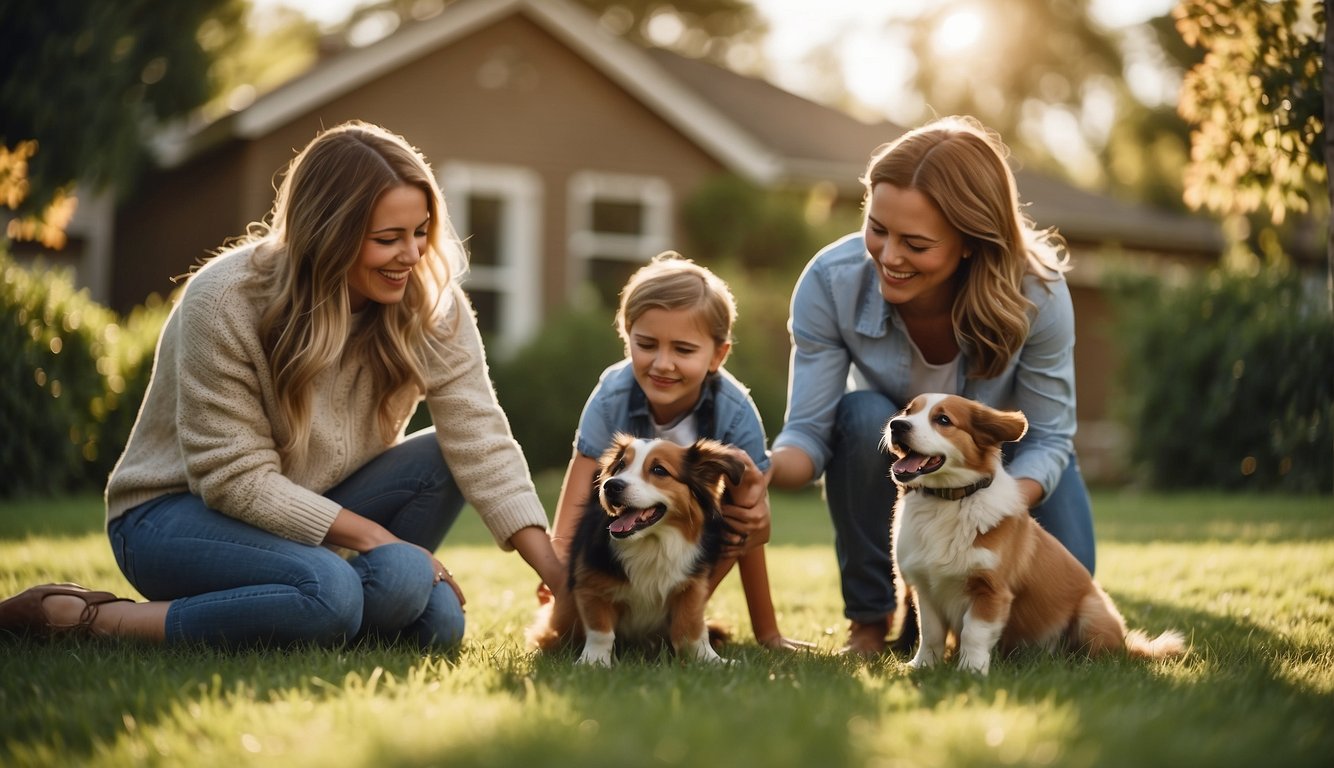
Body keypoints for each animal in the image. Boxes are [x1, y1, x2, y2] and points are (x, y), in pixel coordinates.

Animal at [525, 434, 747, 664]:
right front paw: (593, 662)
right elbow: (600, 631)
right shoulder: (590, 586)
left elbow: (691, 630)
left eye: (659, 470)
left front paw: (709, 660)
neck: (651, 543)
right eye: (620, 466)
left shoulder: (691, 587)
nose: (610, 486)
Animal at [885, 392, 1179, 674]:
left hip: (1091, 612)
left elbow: (973, 633)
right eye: (908, 411)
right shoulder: (926, 589)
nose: (896, 425)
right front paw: (922, 666)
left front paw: (971, 671)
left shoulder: (991, 591)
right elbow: (930, 634)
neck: (948, 501)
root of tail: (1127, 644)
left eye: (943, 420)